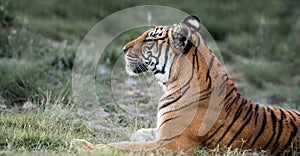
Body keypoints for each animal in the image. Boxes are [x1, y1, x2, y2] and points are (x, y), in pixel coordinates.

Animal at [72, 15, 300, 155]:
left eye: (149, 40)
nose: (123, 48)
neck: (170, 83)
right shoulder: (164, 132)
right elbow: (139, 134)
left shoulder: (170, 144)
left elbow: (124, 146)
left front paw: (84, 145)